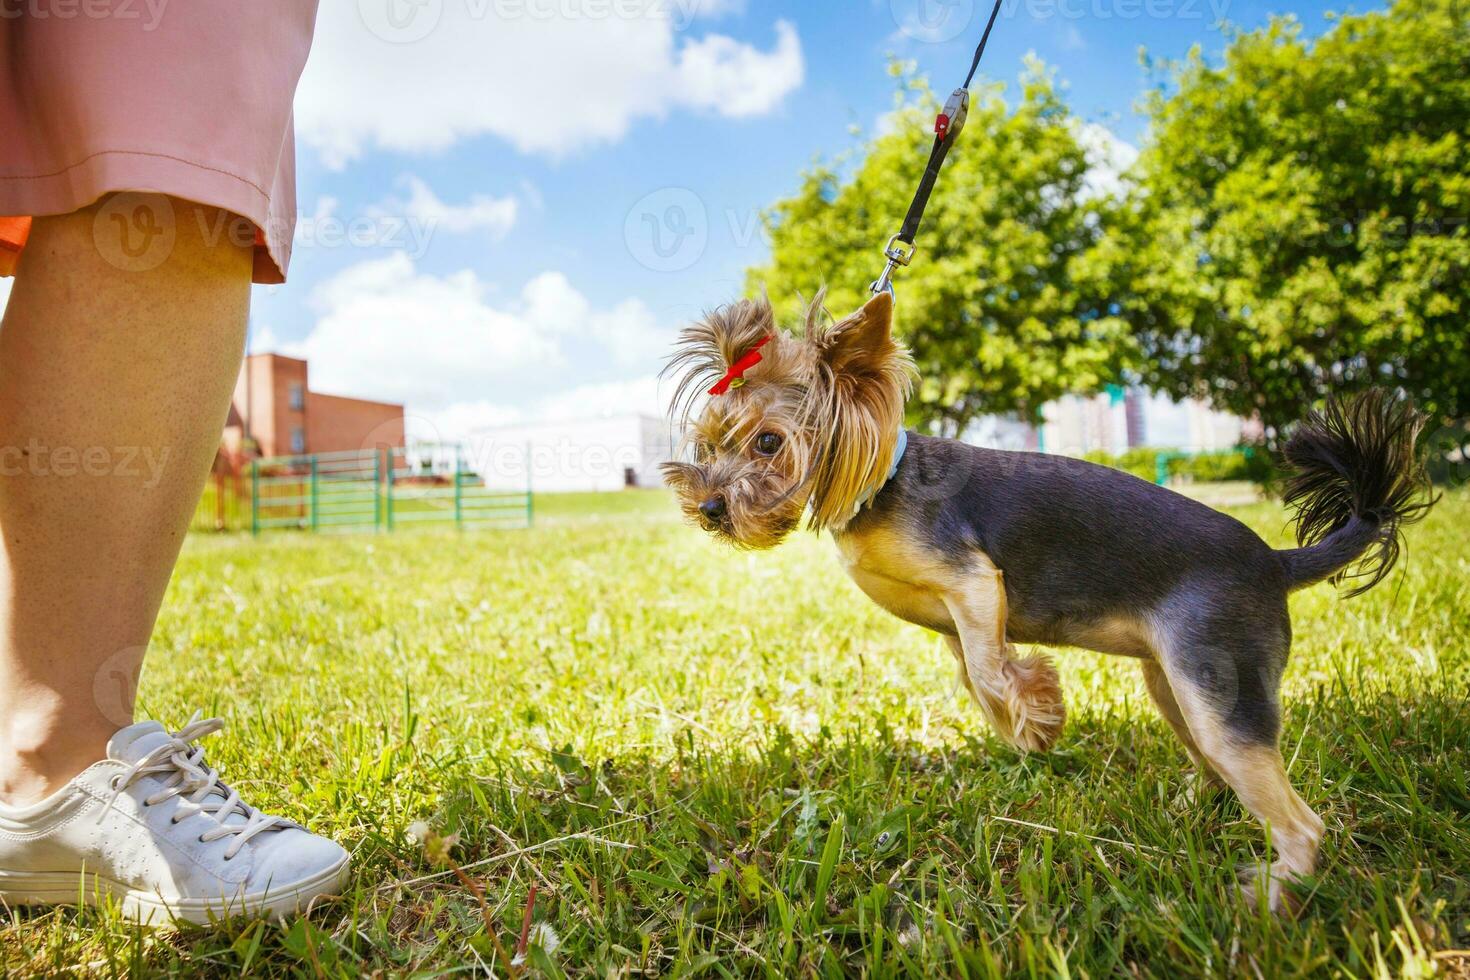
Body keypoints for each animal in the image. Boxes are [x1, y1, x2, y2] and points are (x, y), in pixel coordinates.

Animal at [667, 290, 1434, 910]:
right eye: (709, 443)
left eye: (770, 443)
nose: (707, 507)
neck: (878, 482)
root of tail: (1276, 562)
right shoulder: (964, 619)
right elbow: (975, 672)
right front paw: (1023, 718)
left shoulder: (975, 580)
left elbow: (987, 667)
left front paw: (1036, 710)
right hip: (1175, 681)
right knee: (1214, 764)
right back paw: (1190, 809)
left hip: (1220, 677)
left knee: (1293, 815)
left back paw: (1271, 898)